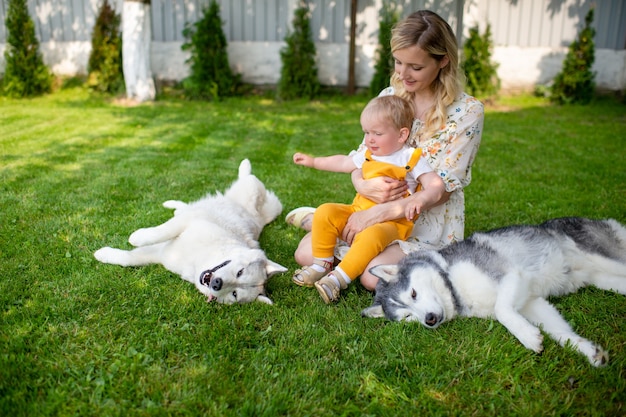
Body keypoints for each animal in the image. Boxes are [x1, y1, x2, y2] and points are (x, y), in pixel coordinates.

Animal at [94, 158, 286, 302]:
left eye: (234, 293)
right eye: (240, 272)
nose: (217, 284)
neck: (197, 260)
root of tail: (263, 217)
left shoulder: (161, 254)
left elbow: (129, 259)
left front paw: (103, 254)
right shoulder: (190, 221)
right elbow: (160, 232)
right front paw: (137, 237)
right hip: (253, 191)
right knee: (247, 177)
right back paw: (244, 165)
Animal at [360, 216, 624, 366]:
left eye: (413, 293)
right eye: (407, 317)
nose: (430, 319)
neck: (454, 286)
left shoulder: (510, 274)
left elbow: (502, 310)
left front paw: (527, 338)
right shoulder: (531, 302)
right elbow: (560, 332)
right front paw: (588, 351)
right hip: (604, 279)